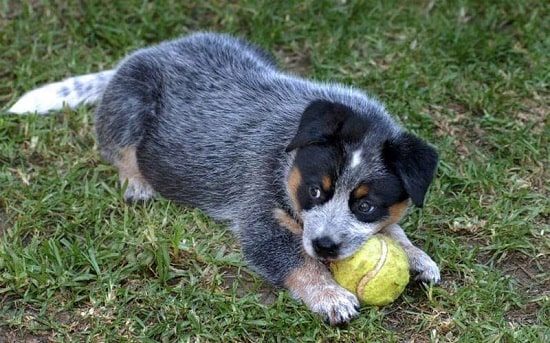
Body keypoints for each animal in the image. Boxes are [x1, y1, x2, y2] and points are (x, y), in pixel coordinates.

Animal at [7, 32, 440, 326]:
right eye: (315, 190)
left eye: (365, 205)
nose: (325, 246)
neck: (287, 156)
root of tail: (146, 53)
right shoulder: (259, 212)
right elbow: (294, 259)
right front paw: (330, 296)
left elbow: (394, 228)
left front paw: (416, 256)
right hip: (134, 97)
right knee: (118, 144)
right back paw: (137, 183)